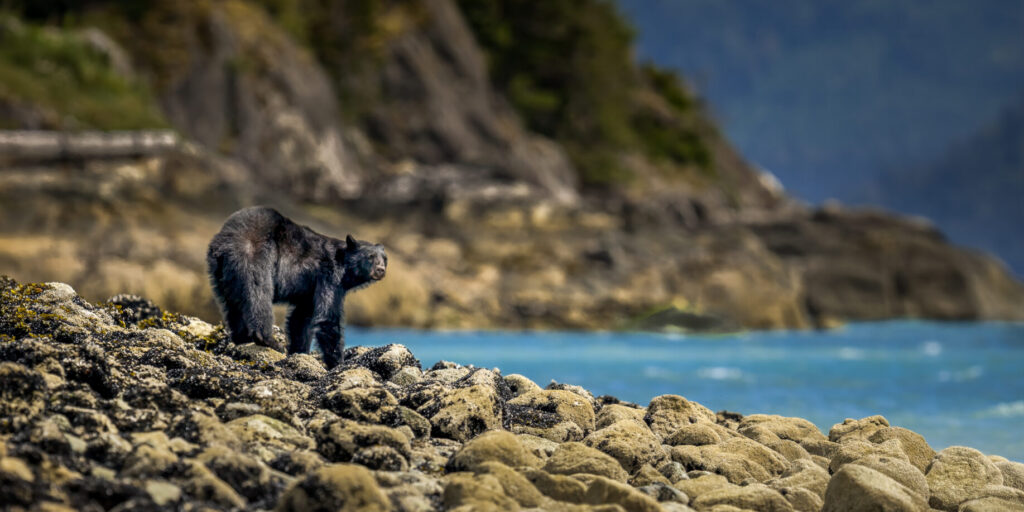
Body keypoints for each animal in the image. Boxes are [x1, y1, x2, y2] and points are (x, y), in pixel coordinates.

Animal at [206, 206, 386, 369]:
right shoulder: (329, 276)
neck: (345, 268)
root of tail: (225, 242)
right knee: (258, 295)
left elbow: (301, 318)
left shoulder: (310, 289)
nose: (381, 269)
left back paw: (242, 338)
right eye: (370, 257)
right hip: (254, 255)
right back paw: (267, 340)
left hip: (221, 273)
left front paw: (299, 351)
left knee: (232, 304)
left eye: (384, 258)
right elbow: (327, 317)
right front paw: (337, 363)